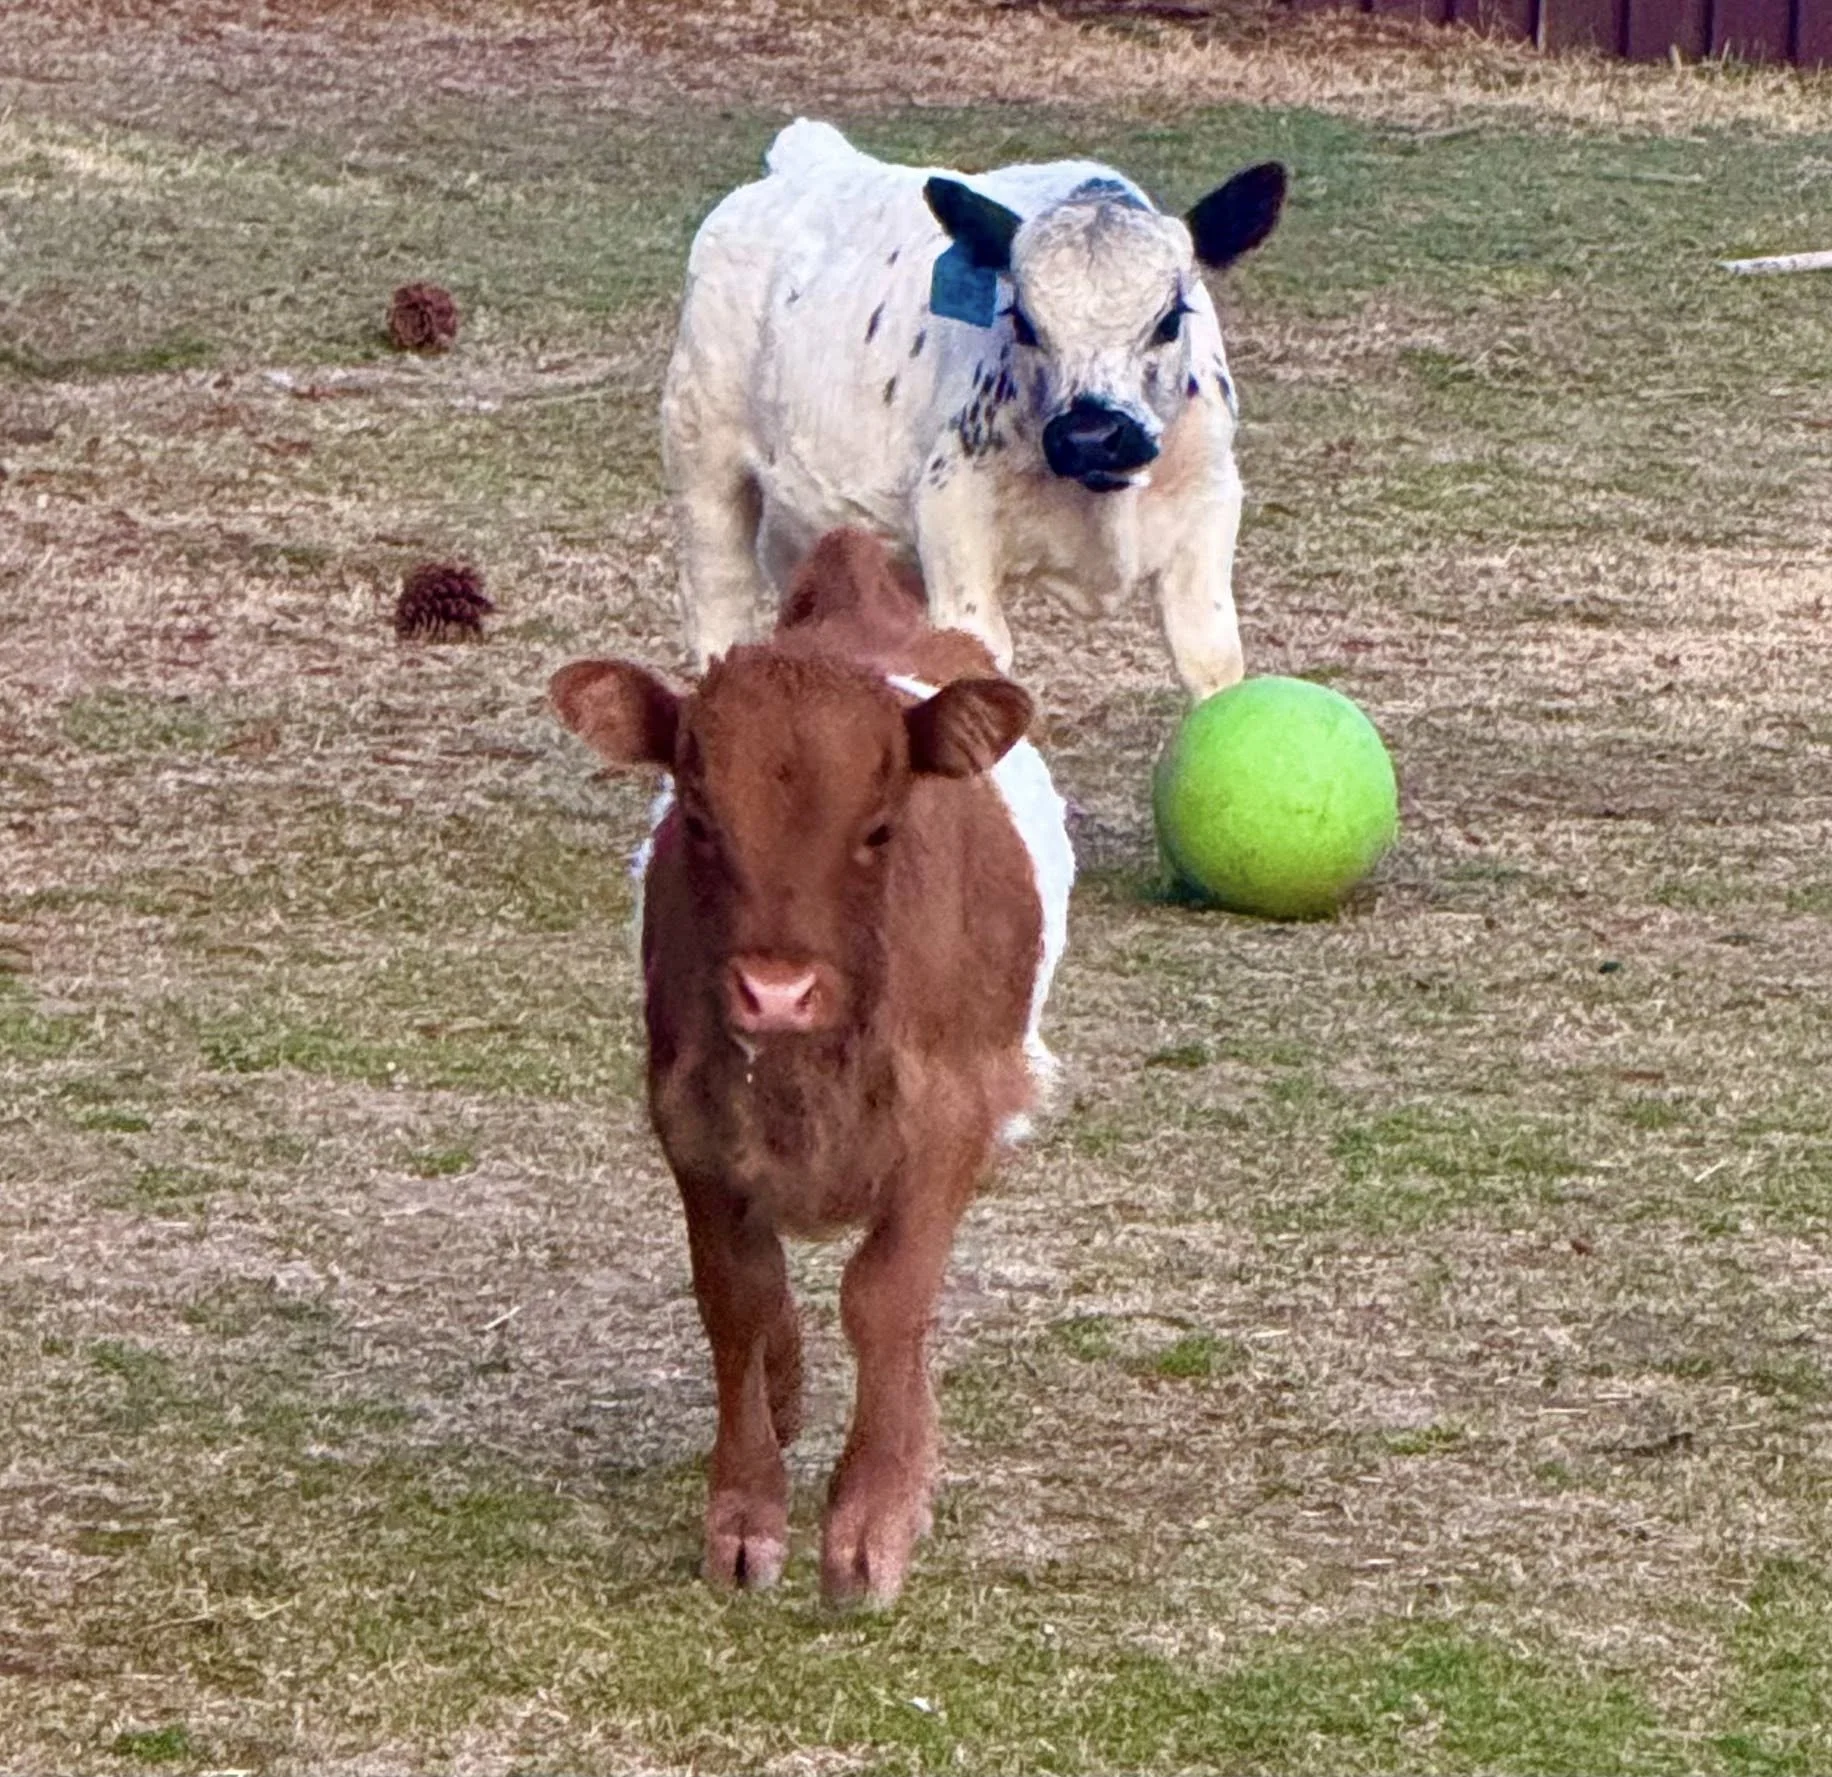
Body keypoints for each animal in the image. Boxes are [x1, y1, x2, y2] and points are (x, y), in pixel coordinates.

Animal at [550, 527, 1073, 1607]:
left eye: (878, 826)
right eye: (699, 819)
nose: (777, 991)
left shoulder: (947, 1121)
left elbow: (887, 1300)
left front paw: (873, 1520)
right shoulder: (694, 1126)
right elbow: (739, 1298)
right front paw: (747, 1514)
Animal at [662, 118, 1286, 703]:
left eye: (1170, 319)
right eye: (1023, 321)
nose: (1089, 435)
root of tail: (807, 157)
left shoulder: (1208, 512)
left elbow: (1210, 658)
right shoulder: (955, 525)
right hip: (705, 459)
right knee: (720, 603)